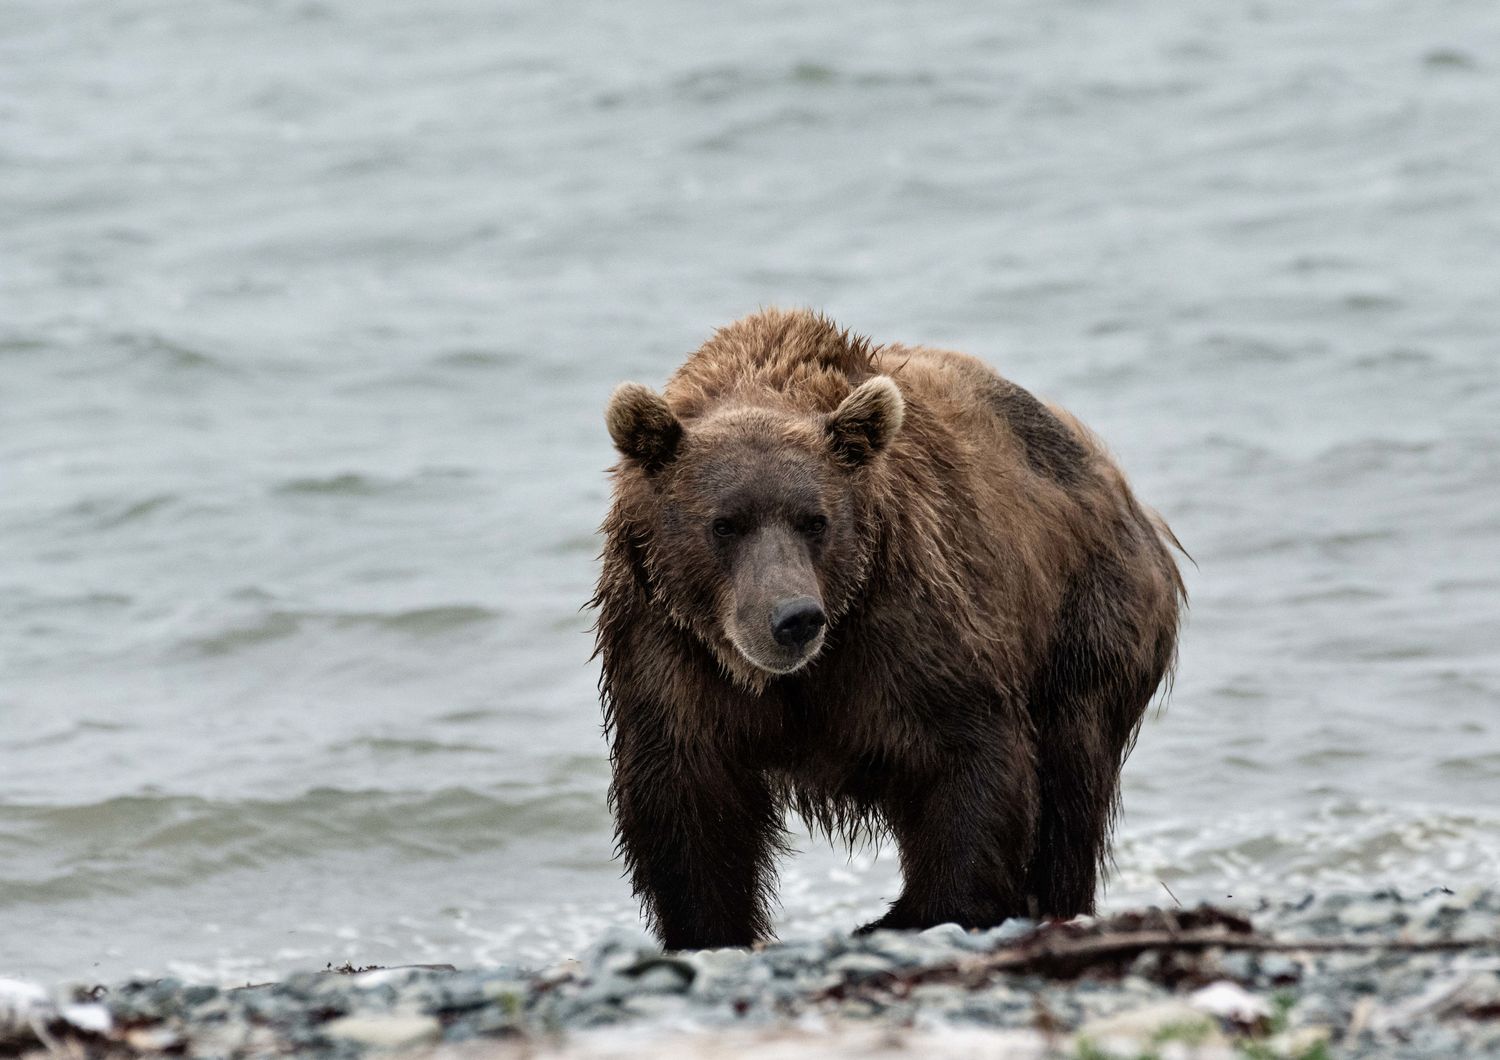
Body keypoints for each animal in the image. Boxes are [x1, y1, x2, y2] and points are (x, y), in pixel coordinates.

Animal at [588, 308, 1182, 953]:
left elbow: (969, 755)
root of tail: (1121, 487)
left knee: (1071, 774)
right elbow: (688, 800)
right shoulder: (669, 647)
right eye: (725, 524)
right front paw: (710, 932)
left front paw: (921, 912)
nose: (794, 618)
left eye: (815, 520)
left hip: (1089, 616)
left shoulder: (904, 625)